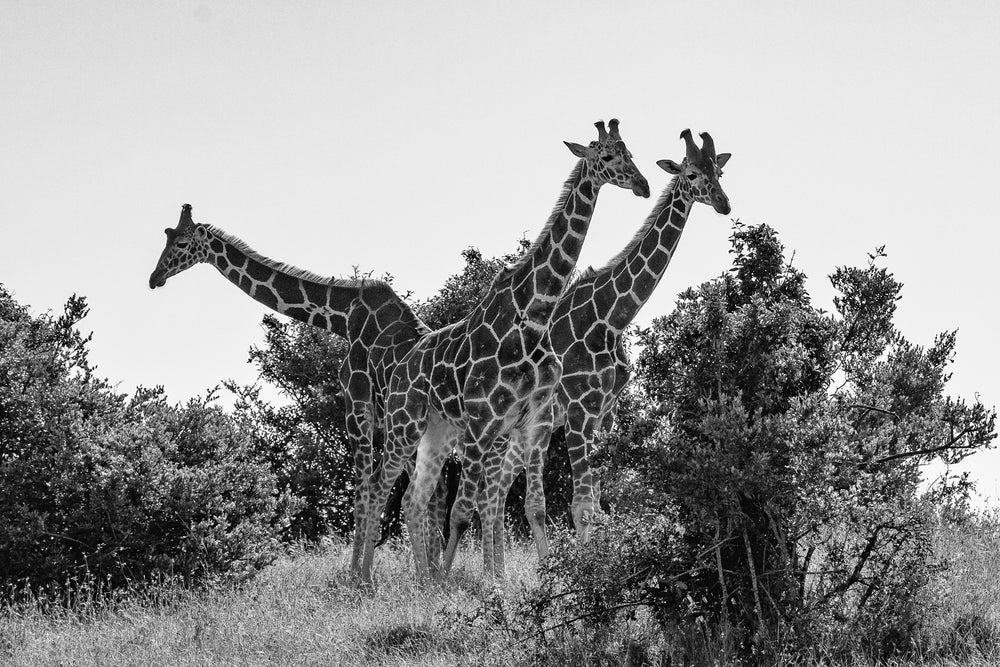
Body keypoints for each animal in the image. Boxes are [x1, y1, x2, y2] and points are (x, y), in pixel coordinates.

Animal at [147, 205, 434, 576]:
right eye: (166, 235)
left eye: (181, 242)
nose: (155, 277)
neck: (342, 316)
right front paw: (416, 574)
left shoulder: (356, 392)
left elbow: (364, 489)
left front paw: (357, 577)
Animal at [356, 121, 652, 584]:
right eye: (605, 156)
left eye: (630, 152)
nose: (642, 184)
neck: (535, 311)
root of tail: (400, 367)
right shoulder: (483, 421)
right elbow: (464, 511)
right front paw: (463, 585)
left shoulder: (529, 421)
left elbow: (529, 505)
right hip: (406, 424)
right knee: (381, 488)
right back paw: (368, 579)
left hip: (437, 431)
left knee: (413, 497)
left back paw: (420, 579)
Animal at [486, 128, 736, 556]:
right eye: (691, 173)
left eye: (717, 171)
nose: (724, 203)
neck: (612, 317)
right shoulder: (579, 411)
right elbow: (582, 505)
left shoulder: (606, 413)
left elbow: (601, 503)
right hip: (521, 428)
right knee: (500, 494)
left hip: (528, 431)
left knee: (500, 491)